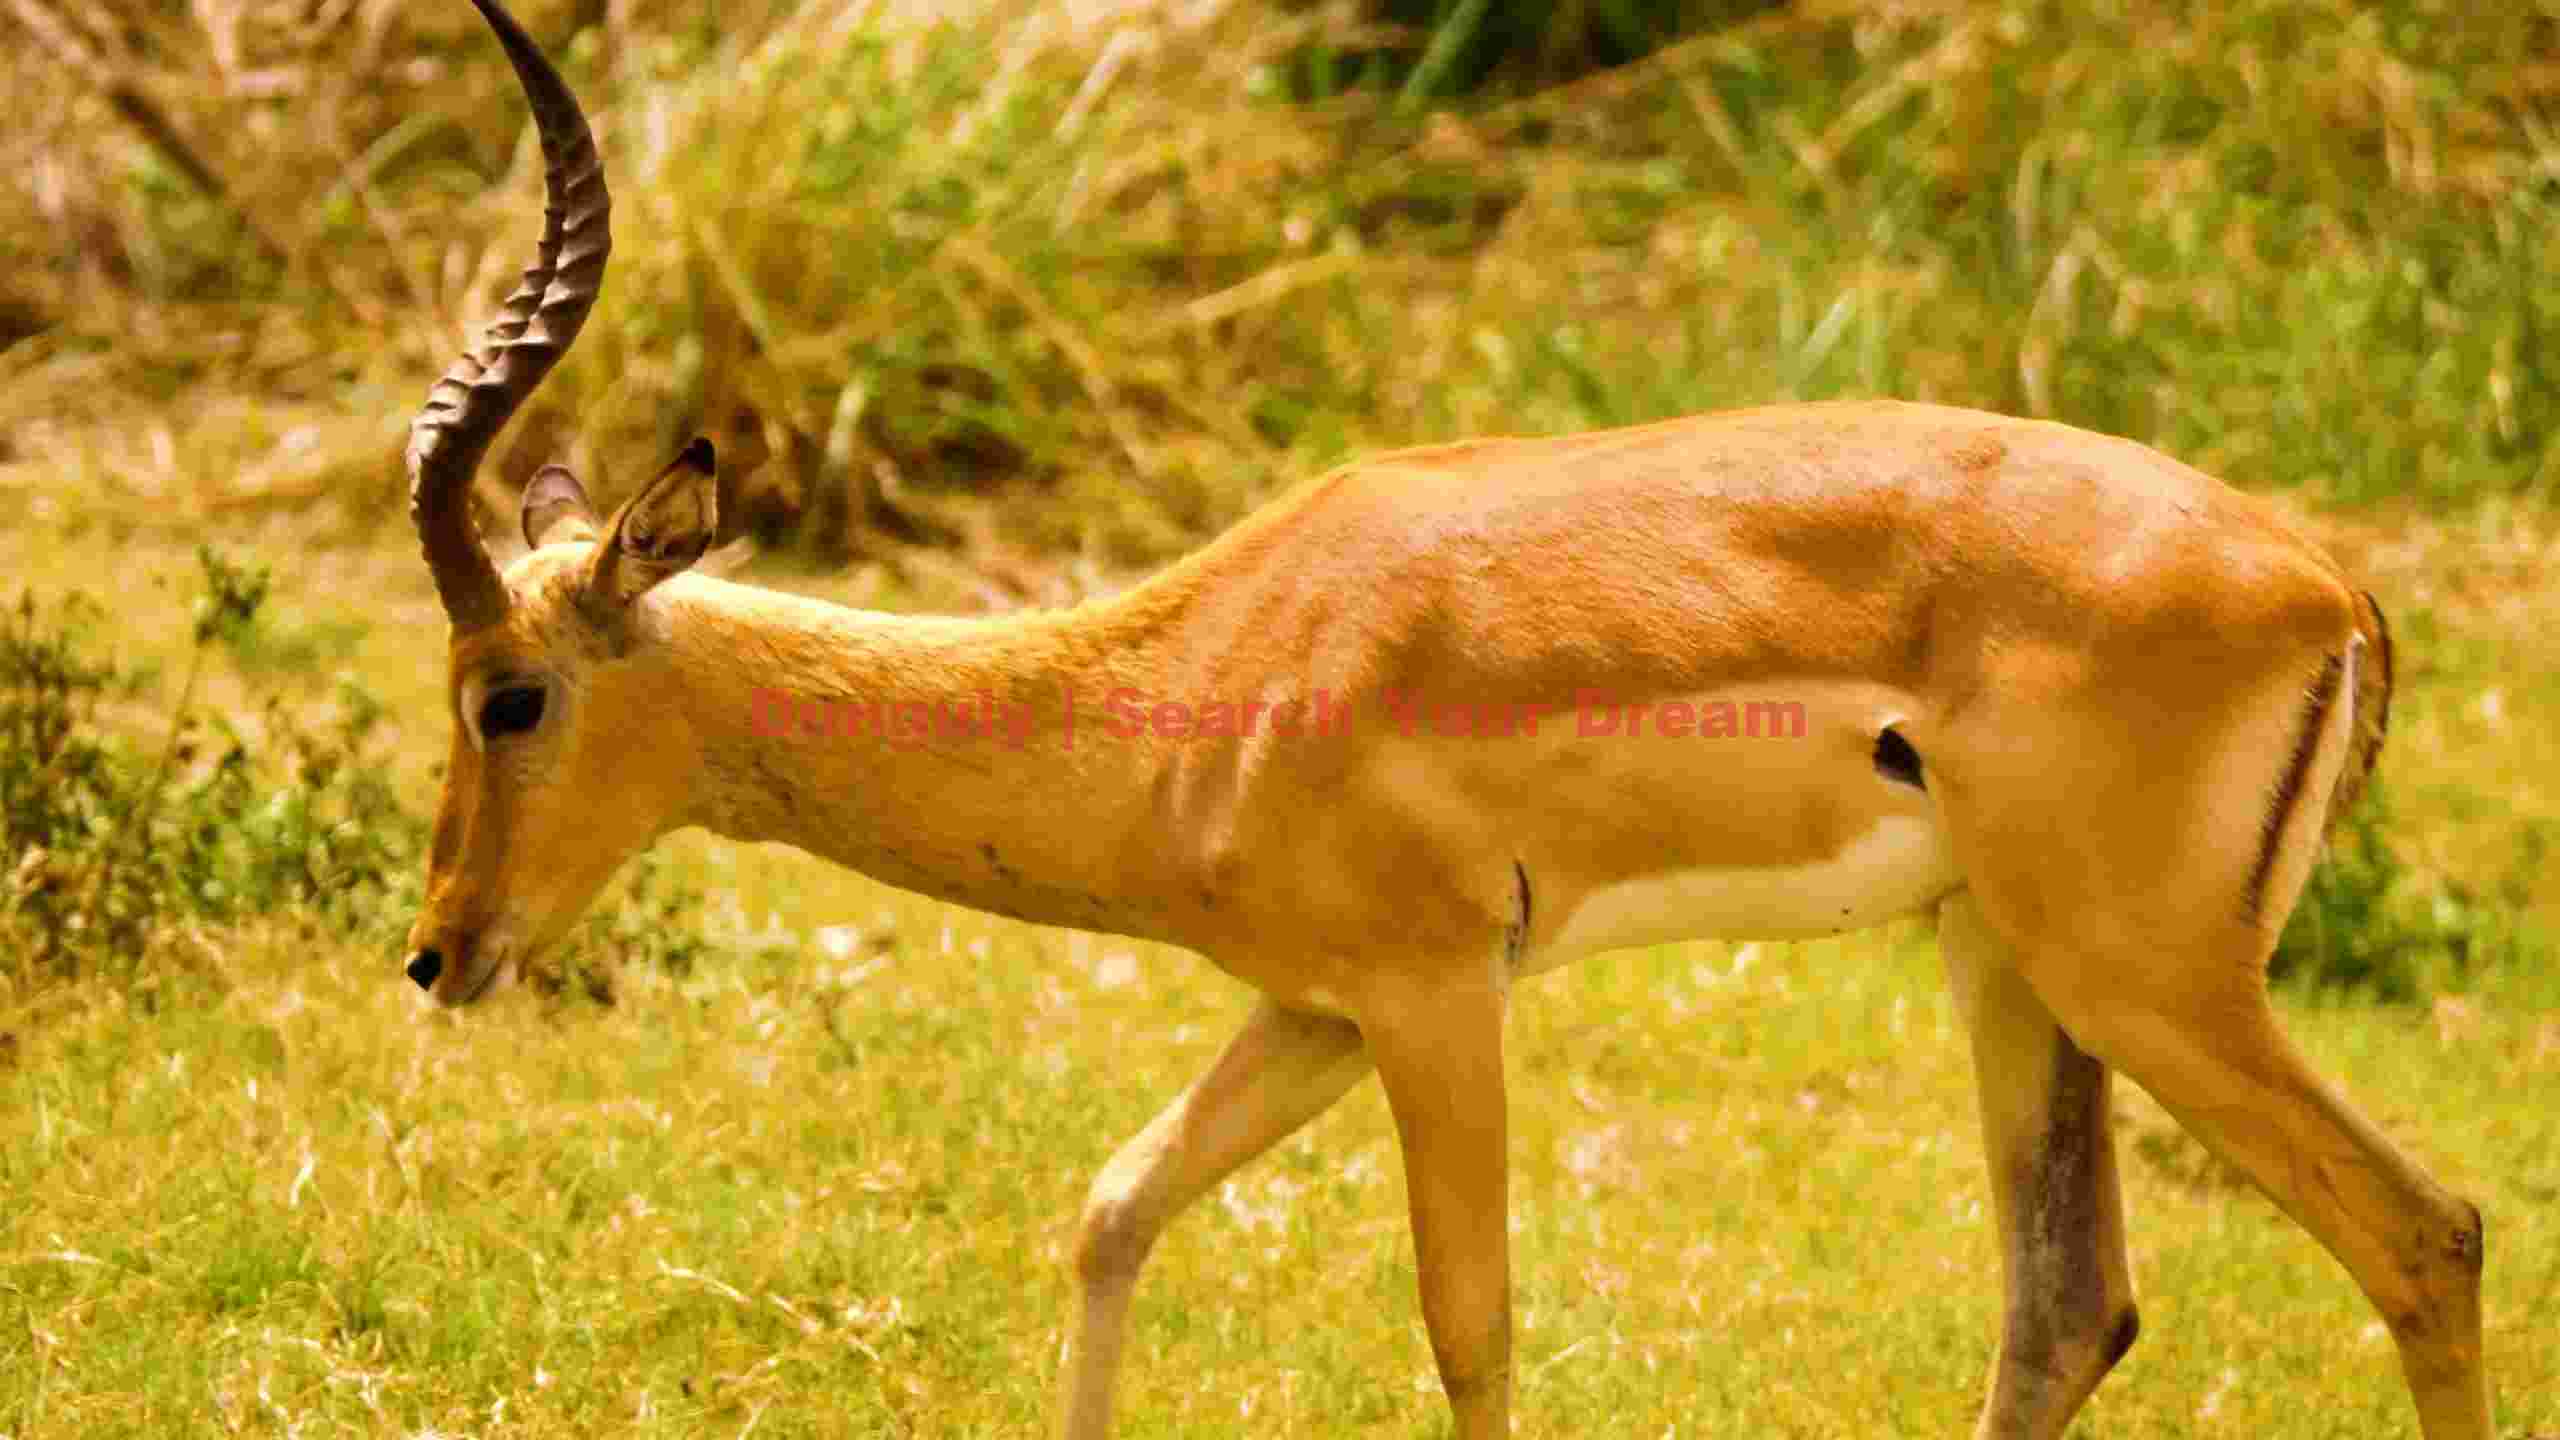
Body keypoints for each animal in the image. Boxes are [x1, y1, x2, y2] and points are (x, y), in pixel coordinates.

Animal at [402, 2, 2496, 1436]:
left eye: (509, 692)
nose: (437, 953)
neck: (1204, 674)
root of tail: (2328, 586)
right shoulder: (1312, 1013)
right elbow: (1110, 1209)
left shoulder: (1434, 1000)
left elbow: (1469, 1329)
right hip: (2012, 966)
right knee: (2069, 1300)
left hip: (2150, 982)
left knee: (2426, 1232)